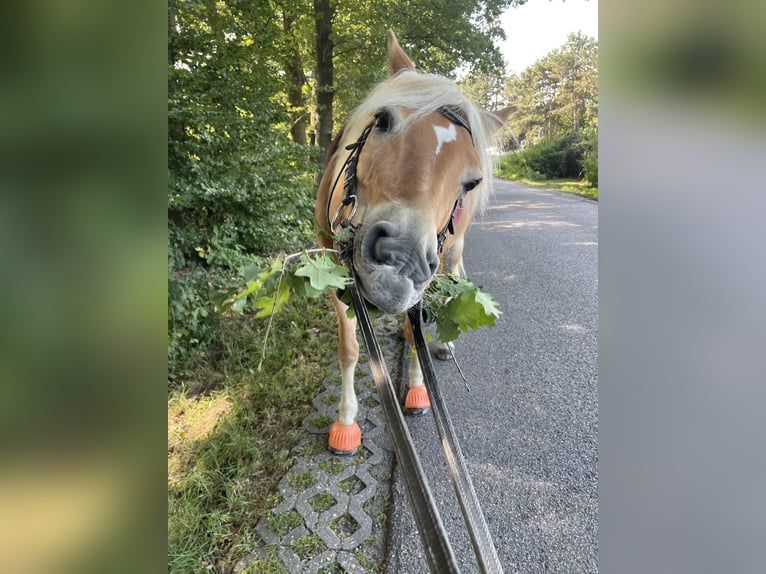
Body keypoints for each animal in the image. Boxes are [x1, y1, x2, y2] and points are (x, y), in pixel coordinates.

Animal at [316, 31, 512, 456]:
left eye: (472, 181)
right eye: (383, 120)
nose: (401, 260)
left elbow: (414, 328)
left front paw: (419, 389)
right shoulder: (332, 271)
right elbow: (349, 348)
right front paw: (346, 421)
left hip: (450, 252)